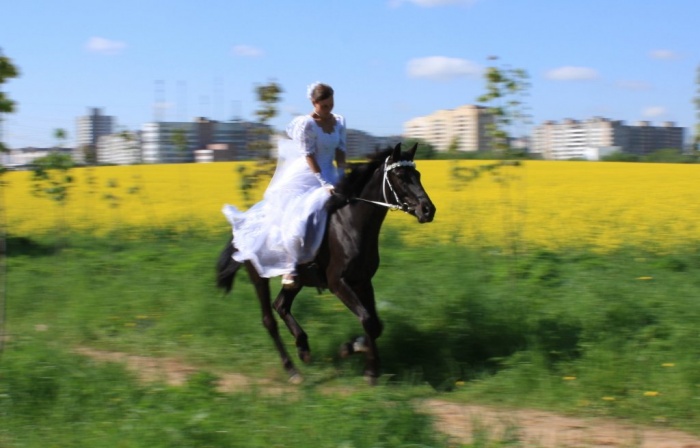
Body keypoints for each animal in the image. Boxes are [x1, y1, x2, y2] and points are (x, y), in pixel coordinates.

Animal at [216, 142, 436, 384]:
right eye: (400, 176)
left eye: (417, 174)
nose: (428, 210)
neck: (350, 223)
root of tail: (242, 220)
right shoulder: (337, 282)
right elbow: (368, 319)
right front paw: (366, 366)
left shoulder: (363, 281)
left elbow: (376, 324)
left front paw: (356, 351)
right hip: (259, 278)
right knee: (269, 320)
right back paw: (292, 370)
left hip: (297, 280)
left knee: (281, 305)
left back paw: (303, 347)